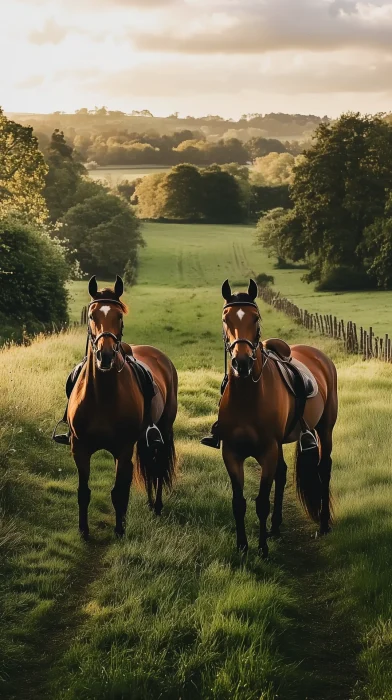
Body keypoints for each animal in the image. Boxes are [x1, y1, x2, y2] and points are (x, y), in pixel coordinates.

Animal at [68, 276, 178, 540]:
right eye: (92, 315)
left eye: (119, 316)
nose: (105, 356)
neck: (101, 395)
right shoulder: (80, 449)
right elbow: (84, 492)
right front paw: (84, 531)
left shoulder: (123, 448)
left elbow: (119, 491)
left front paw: (119, 530)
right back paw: (149, 502)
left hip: (163, 429)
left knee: (158, 466)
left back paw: (157, 506)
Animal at [217, 278, 336, 556]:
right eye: (226, 319)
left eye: (256, 318)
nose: (241, 363)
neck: (247, 396)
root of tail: (319, 355)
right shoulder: (231, 453)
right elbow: (239, 502)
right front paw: (242, 546)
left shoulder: (268, 451)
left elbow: (261, 501)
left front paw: (262, 549)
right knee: (282, 474)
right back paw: (276, 527)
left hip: (325, 429)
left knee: (324, 468)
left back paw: (324, 524)